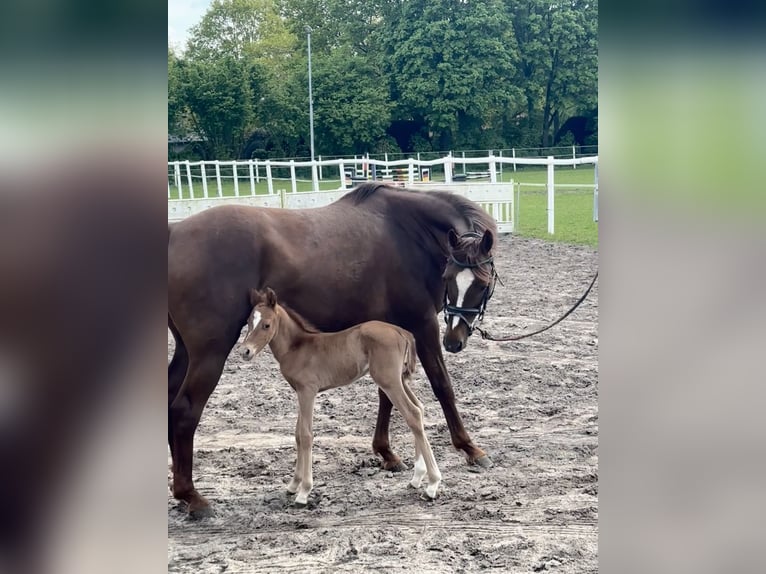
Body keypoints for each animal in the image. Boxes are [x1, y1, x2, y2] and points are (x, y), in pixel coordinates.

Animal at [240, 290, 444, 506]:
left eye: (266, 325)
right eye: (249, 322)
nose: (245, 351)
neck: (298, 347)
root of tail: (402, 332)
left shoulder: (308, 391)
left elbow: (306, 435)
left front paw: (304, 491)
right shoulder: (300, 392)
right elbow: (297, 434)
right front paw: (293, 485)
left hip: (389, 381)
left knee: (412, 414)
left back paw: (432, 485)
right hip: (399, 380)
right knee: (419, 408)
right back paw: (417, 478)